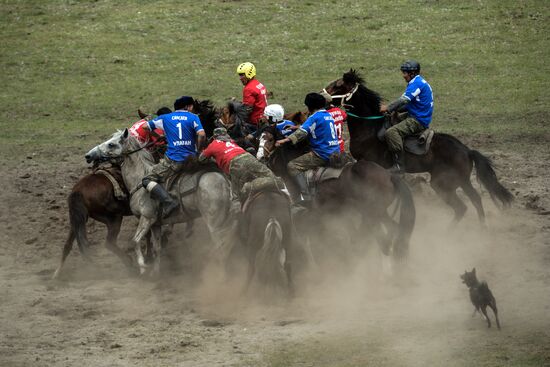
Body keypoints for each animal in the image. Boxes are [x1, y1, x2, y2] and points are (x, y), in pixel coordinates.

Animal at [86, 129, 239, 276]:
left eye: (111, 144)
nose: (88, 155)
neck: (139, 178)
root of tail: (225, 182)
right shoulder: (155, 224)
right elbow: (156, 248)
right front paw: (156, 273)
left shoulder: (146, 218)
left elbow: (135, 241)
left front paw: (143, 266)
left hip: (214, 223)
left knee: (221, 247)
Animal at [326, 68, 516, 224]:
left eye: (338, 85)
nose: (322, 95)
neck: (370, 128)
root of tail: (467, 151)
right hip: (462, 181)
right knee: (475, 200)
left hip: (443, 184)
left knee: (461, 207)